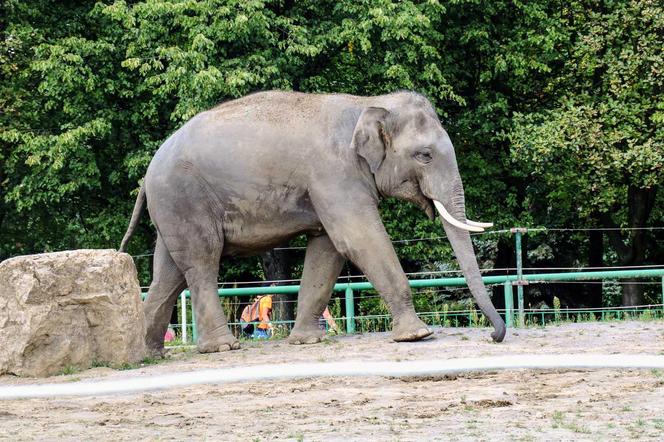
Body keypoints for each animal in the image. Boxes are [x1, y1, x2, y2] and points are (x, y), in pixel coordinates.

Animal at [119, 90, 506, 356]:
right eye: (424, 155)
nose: (494, 335)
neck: (367, 104)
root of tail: (147, 173)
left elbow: (328, 249)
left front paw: (308, 340)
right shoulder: (335, 174)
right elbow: (358, 239)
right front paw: (418, 335)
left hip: (173, 207)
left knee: (169, 271)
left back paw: (147, 354)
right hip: (185, 197)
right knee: (202, 261)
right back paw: (223, 347)